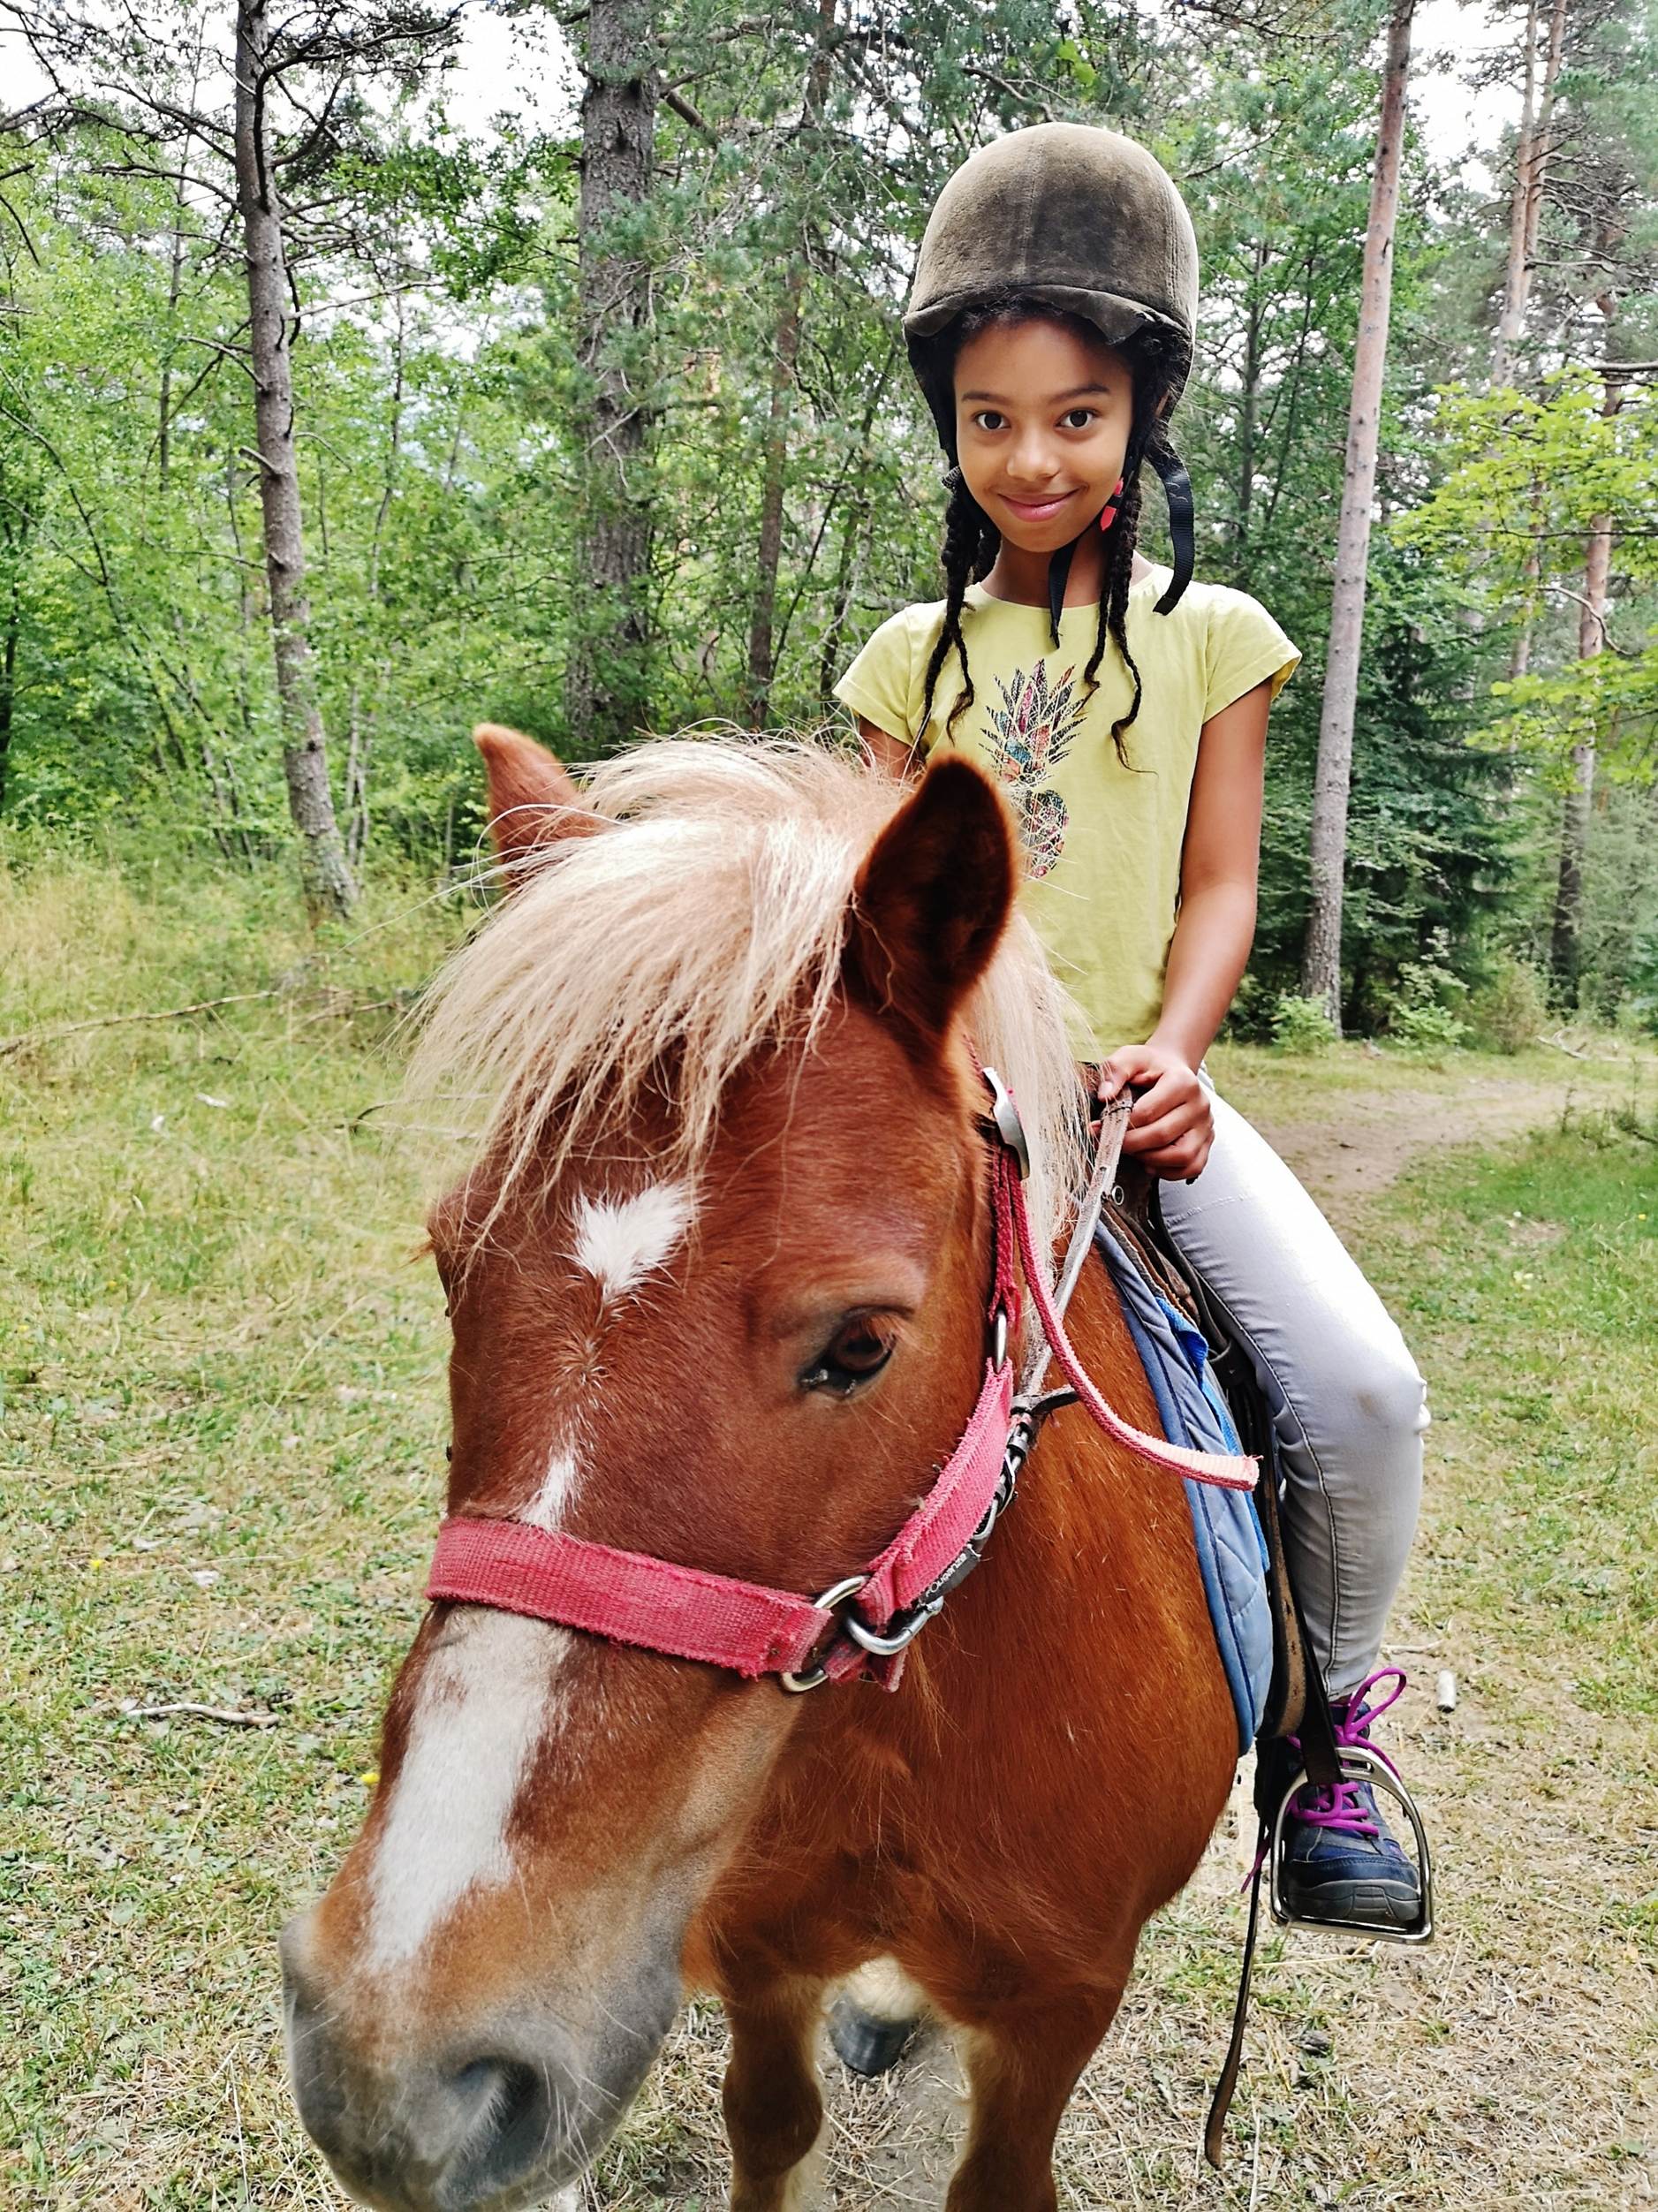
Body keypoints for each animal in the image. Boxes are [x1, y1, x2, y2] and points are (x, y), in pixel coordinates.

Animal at [281, 725, 1239, 2212]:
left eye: (861, 1344)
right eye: (449, 1263)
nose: (405, 2059)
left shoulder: (1058, 2010)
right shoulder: (761, 1957)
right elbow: (771, 2128)